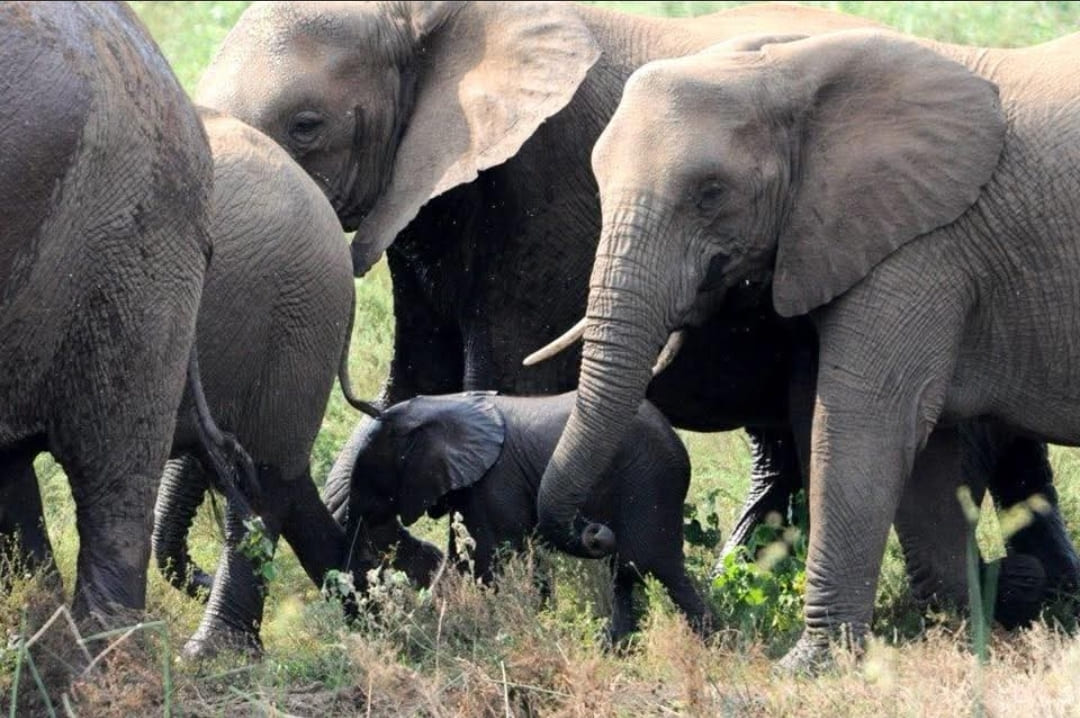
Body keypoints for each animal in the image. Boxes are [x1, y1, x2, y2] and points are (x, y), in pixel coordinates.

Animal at [149, 109, 396, 658]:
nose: (198, 578)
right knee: (277, 472)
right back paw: (394, 599)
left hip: (297, 318)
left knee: (264, 481)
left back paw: (212, 653)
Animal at [343, 391, 713, 643]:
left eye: (366, 476)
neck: (441, 407)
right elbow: (462, 558)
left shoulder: (494, 480)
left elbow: (488, 560)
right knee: (623, 571)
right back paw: (614, 647)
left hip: (651, 483)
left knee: (652, 564)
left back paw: (712, 642)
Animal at [530, 28, 1080, 672]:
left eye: (710, 193)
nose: (598, 530)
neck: (791, 70)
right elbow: (927, 458)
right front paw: (977, 617)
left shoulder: (922, 247)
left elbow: (865, 427)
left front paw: (808, 667)